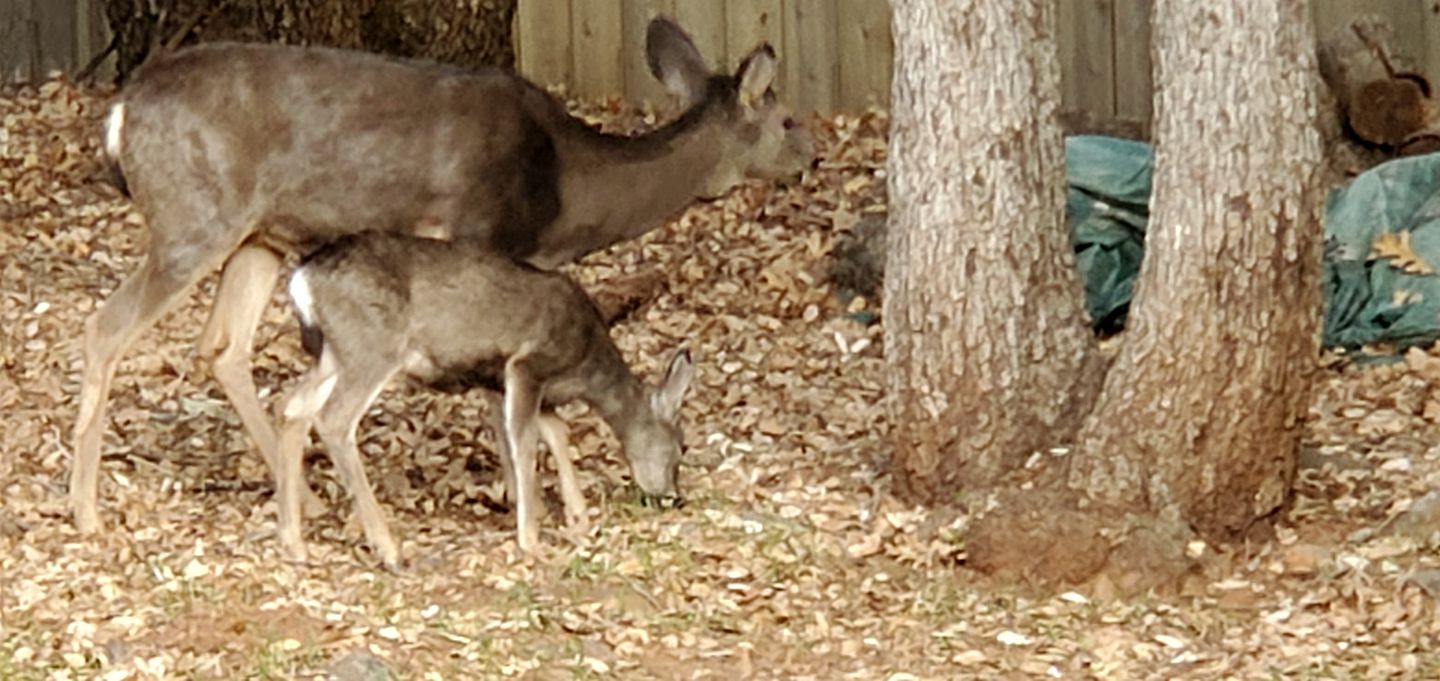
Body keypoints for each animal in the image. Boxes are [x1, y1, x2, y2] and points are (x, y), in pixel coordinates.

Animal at [73, 17, 812, 529]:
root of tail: (118, 114)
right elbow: (498, 392)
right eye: (785, 116)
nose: (815, 155)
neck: (569, 191)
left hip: (261, 234)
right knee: (106, 327)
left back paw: (301, 496)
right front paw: (519, 494)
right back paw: (85, 508)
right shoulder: (483, 232)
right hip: (192, 217)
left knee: (224, 346)